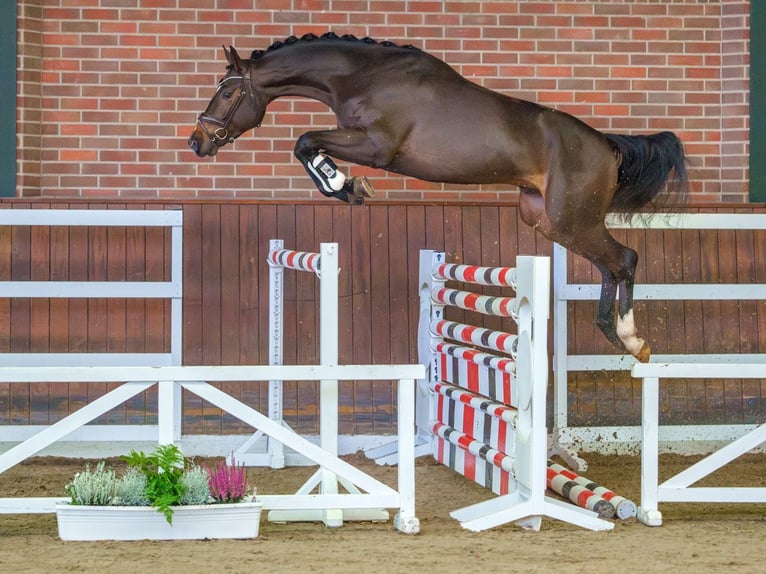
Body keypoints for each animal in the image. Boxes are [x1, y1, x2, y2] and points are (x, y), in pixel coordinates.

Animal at [188, 33, 688, 362]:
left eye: (228, 92)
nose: (198, 142)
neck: (364, 75)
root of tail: (608, 146)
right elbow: (307, 144)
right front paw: (345, 186)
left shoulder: (377, 147)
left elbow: (305, 141)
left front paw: (344, 185)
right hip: (549, 221)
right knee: (609, 265)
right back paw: (614, 334)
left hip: (571, 220)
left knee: (624, 259)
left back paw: (632, 339)